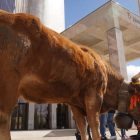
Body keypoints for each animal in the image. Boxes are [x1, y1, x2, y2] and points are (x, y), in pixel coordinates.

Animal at [0, 9, 140, 139]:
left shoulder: (75, 104)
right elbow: (94, 124)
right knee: (4, 119)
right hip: (8, 83)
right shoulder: (95, 94)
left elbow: (82, 127)